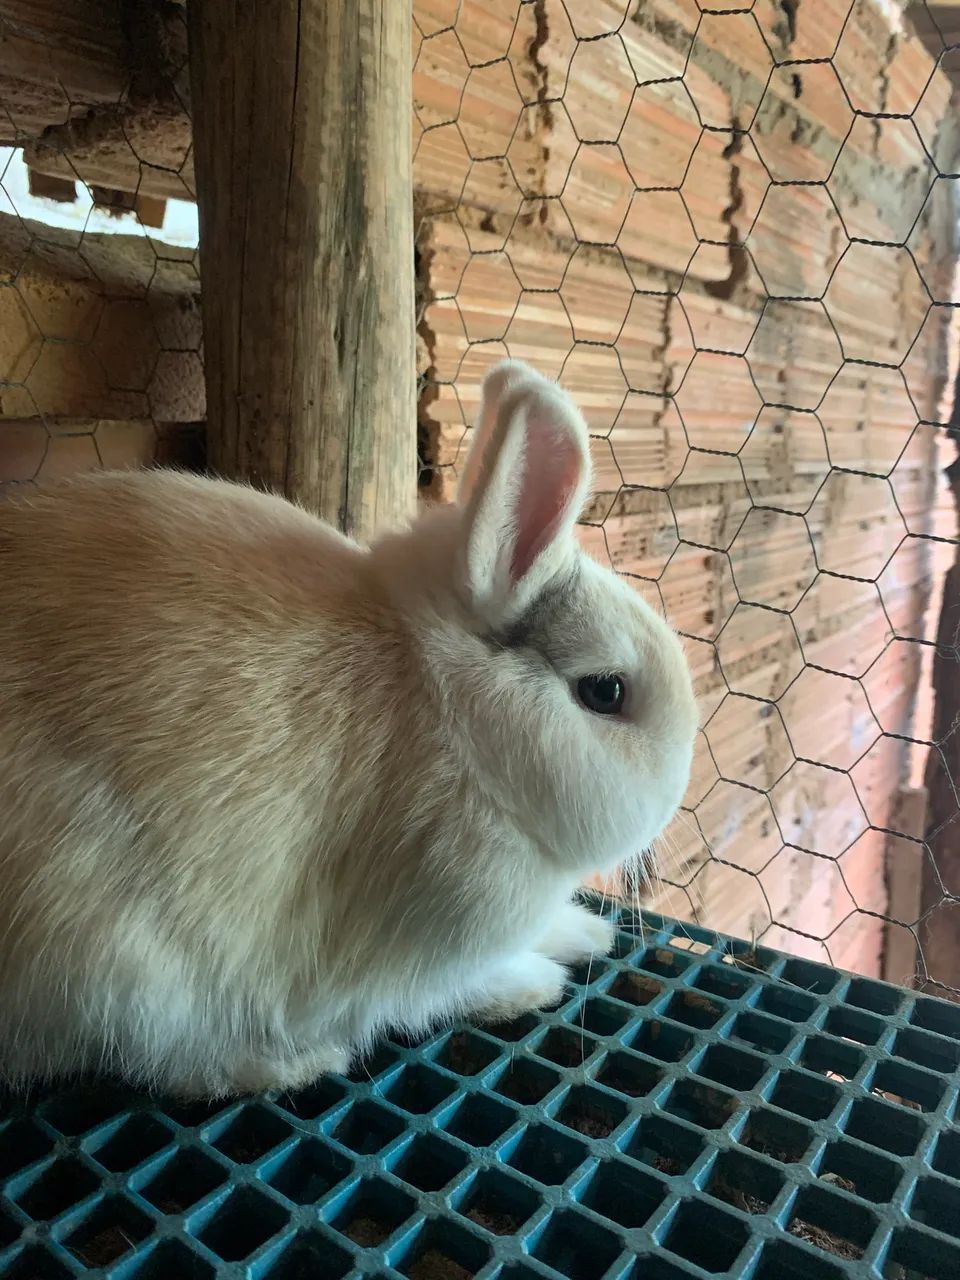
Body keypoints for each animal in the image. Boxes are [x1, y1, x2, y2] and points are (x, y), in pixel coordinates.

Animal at [0, 359, 697, 1098]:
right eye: (605, 692)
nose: (679, 785)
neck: (455, 720)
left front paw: (583, 933)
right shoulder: (423, 950)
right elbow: (451, 989)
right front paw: (536, 981)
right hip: (115, 961)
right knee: (168, 1059)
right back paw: (296, 1062)